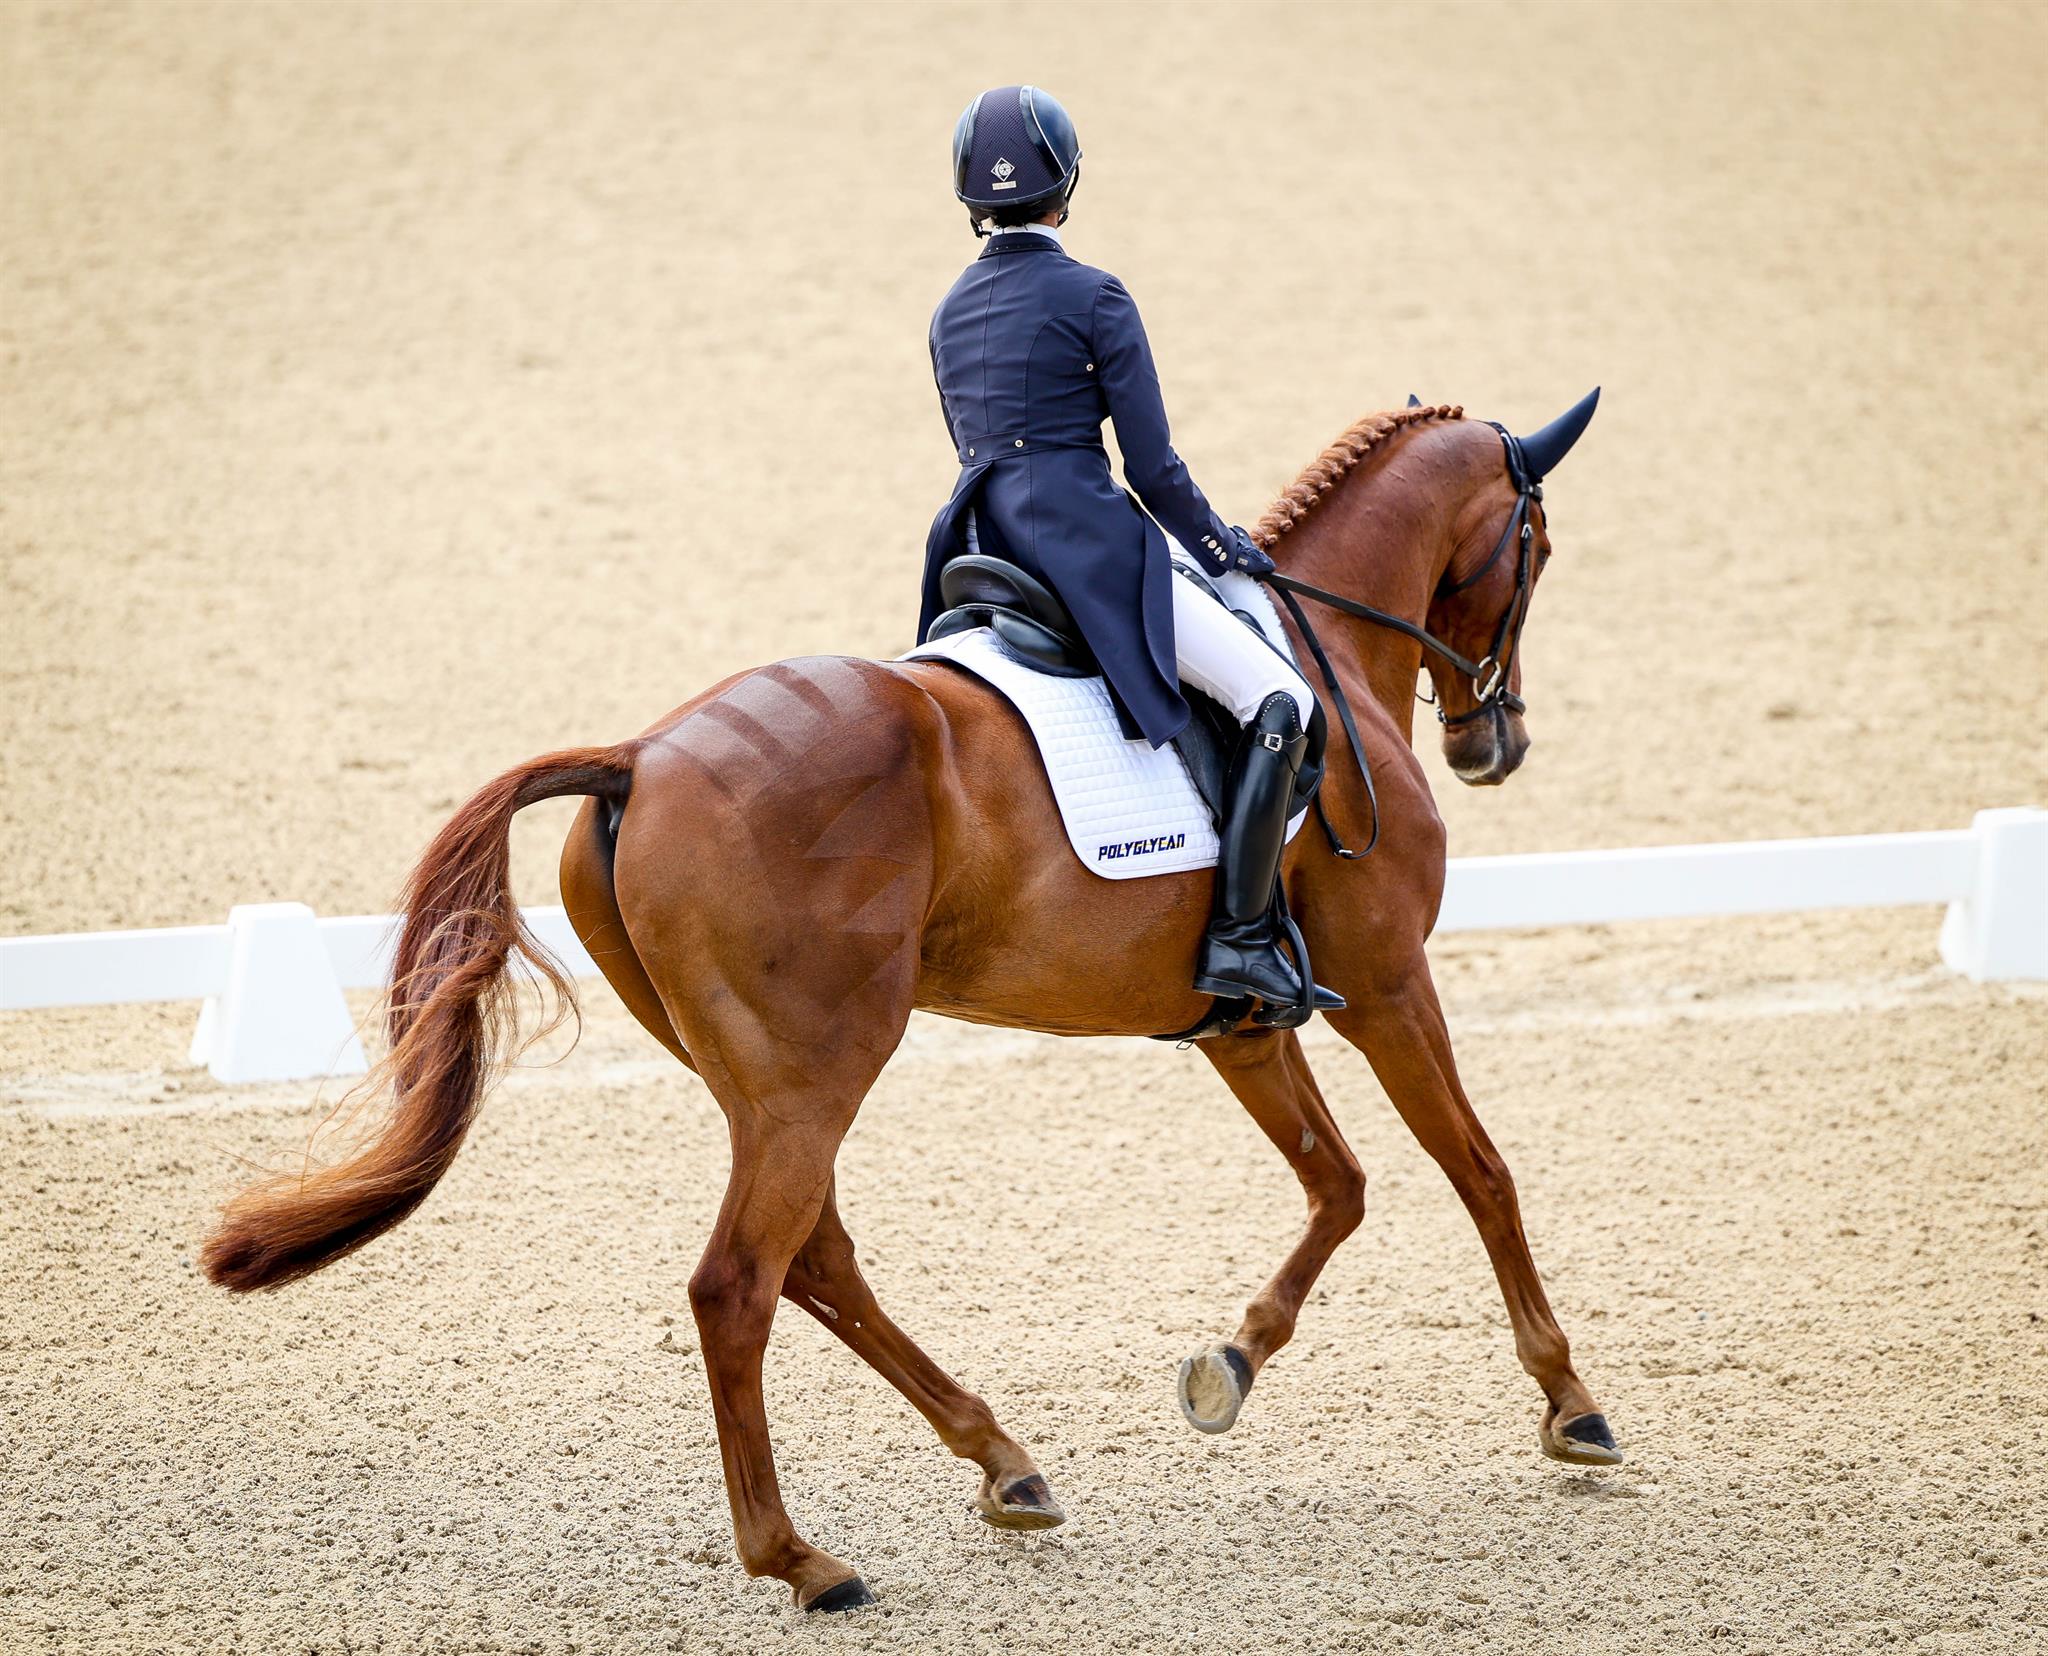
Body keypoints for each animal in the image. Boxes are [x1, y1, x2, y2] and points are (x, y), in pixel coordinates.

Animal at [203, 403, 1613, 1613]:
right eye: (1536, 548)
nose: (1493, 744)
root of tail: (640, 756)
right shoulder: (1385, 983)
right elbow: (1478, 1170)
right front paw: (1570, 1404)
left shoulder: (1243, 1020)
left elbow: (1340, 1182)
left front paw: (1230, 1365)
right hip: (821, 1067)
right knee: (738, 1286)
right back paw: (804, 1561)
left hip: (764, 1079)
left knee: (816, 1262)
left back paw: (1003, 1463)